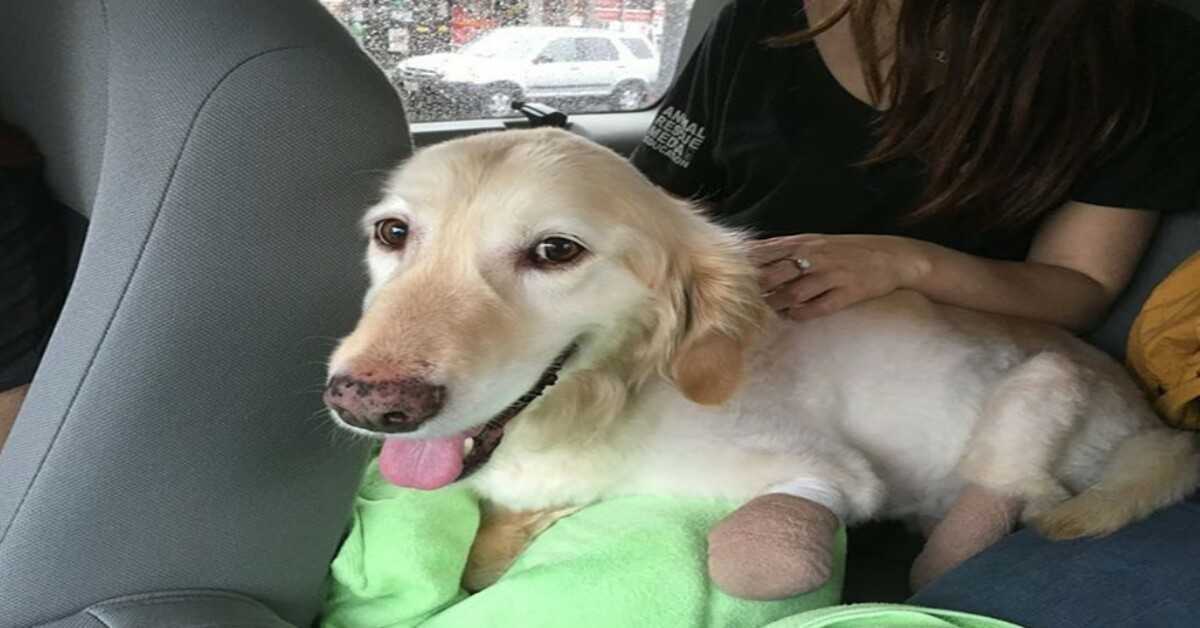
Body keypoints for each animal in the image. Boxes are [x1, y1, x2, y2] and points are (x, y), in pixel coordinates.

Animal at [324, 127, 1195, 600]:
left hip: (1038, 392)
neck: (617, 395)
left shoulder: (816, 468)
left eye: (555, 251)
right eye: (394, 233)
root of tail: (1152, 422)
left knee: (1019, 490)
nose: (365, 403)